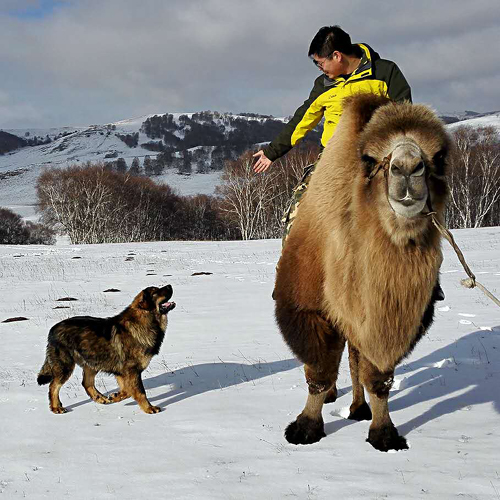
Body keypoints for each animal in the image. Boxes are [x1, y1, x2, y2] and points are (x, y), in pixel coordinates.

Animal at [36, 286, 176, 414]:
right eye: (156, 292)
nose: (170, 286)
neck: (145, 320)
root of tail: (53, 330)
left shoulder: (122, 372)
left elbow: (127, 391)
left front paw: (115, 396)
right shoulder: (132, 370)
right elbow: (140, 392)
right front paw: (149, 408)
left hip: (92, 362)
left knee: (86, 383)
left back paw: (100, 398)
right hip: (66, 366)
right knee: (53, 386)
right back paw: (56, 407)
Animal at [276, 92, 452, 452]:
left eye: (439, 156)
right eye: (370, 159)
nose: (407, 168)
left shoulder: (392, 318)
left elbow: (378, 376)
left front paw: (384, 433)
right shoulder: (309, 308)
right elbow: (319, 371)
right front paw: (305, 427)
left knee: (355, 355)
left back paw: (358, 408)